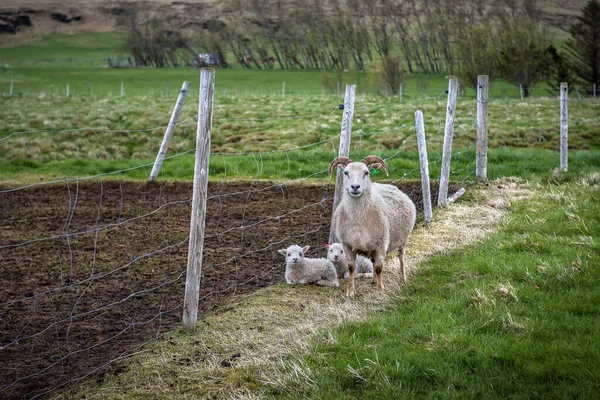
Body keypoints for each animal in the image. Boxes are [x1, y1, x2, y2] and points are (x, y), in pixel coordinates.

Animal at [328, 155, 418, 296]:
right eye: (346, 173)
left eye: (366, 173)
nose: (355, 187)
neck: (358, 219)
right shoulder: (347, 245)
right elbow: (352, 268)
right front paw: (350, 291)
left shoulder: (381, 244)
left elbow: (379, 268)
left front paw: (381, 291)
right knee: (374, 262)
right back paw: (373, 281)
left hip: (403, 239)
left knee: (401, 257)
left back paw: (403, 279)